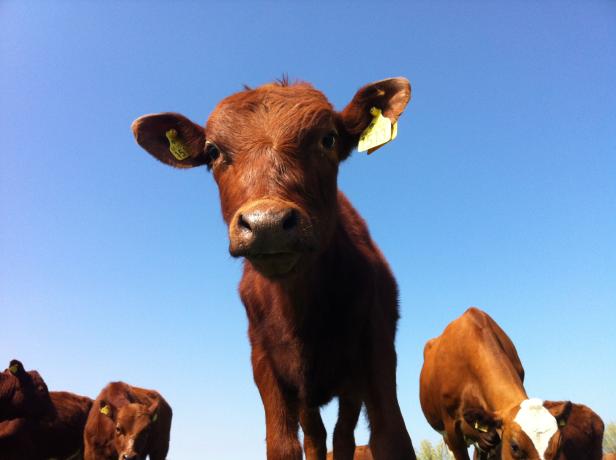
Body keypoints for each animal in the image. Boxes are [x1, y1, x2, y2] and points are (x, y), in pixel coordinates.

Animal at [132, 77, 416, 458]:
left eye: (328, 139)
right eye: (212, 152)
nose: (266, 223)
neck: (300, 312)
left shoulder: (378, 351)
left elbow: (391, 437)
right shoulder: (265, 364)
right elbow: (283, 445)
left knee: (342, 436)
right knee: (316, 436)